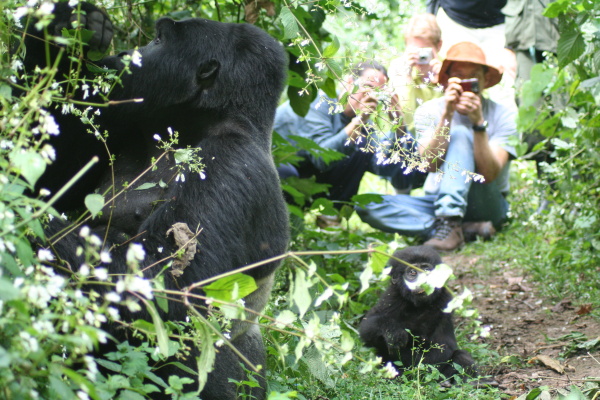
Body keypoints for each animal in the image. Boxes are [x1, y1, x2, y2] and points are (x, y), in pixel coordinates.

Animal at [19, 2, 290, 396]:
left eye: (158, 40)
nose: (124, 55)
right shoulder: (129, 116)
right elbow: (44, 172)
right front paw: (63, 28)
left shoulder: (231, 162)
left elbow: (164, 292)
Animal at [358, 245, 480, 380]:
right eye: (413, 272)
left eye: (426, 270)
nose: (423, 281)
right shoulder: (392, 297)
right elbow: (367, 326)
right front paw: (393, 333)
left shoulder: (444, 298)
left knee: (461, 356)